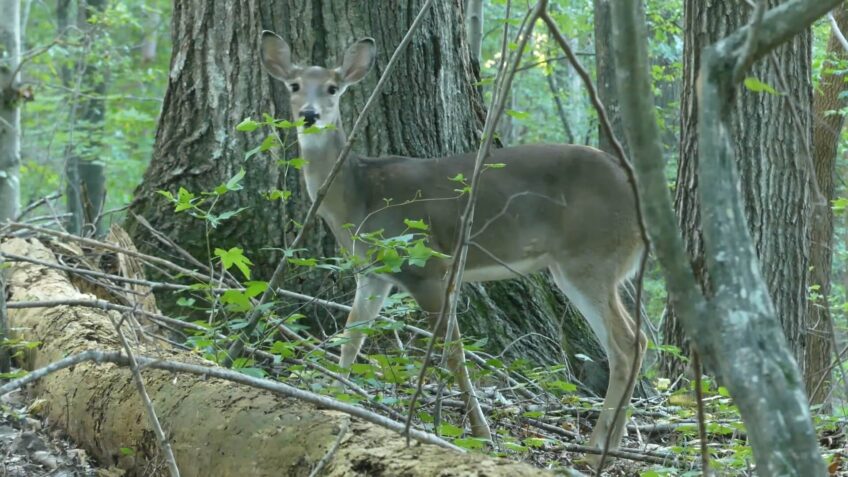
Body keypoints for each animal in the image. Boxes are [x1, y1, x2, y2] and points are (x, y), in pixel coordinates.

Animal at [262, 29, 644, 454]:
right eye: (295, 85)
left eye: (332, 87)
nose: (309, 114)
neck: (359, 197)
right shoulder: (373, 273)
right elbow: (352, 336)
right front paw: (335, 394)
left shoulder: (428, 267)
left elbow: (453, 353)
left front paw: (481, 432)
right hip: (584, 262)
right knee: (635, 341)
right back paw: (614, 439)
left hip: (589, 256)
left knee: (627, 342)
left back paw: (597, 447)